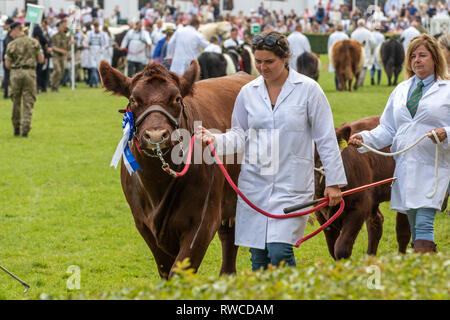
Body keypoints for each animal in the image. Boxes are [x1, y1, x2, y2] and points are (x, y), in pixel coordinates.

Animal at [98, 59, 253, 278]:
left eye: (177, 98)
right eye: (134, 99)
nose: (155, 135)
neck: (158, 186)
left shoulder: (203, 222)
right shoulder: (144, 225)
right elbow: (165, 271)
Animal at [314, 116, 414, 258]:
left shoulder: (359, 207)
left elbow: (341, 249)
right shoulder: (322, 216)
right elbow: (332, 249)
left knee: (402, 229)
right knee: (376, 223)